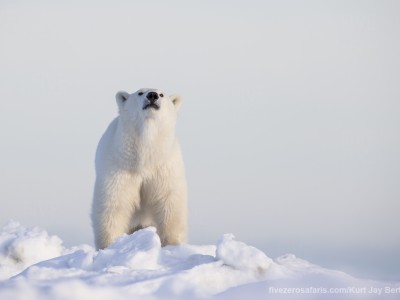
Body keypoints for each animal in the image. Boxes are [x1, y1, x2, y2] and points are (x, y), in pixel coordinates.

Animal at [92, 88, 188, 250]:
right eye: (140, 93)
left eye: (161, 94)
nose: (152, 95)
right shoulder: (119, 169)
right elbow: (114, 205)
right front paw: (110, 246)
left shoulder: (163, 169)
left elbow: (169, 203)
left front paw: (173, 245)